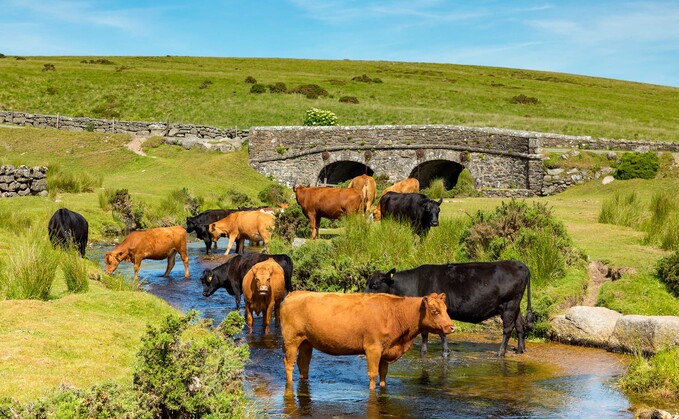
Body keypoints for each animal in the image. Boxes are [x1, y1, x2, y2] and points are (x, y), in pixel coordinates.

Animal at [282, 292, 456, 390]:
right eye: (434, 311)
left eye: (446, 309)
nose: (452, 327)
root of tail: (295, 293)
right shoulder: (373, 348)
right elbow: (373, 374)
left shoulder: (386, 350)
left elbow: (383, 374)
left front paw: (383, 387)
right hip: (291, 340)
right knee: (289, 363)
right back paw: (289, 384)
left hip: (306, 342)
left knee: (303, 364)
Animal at [364, 262, 532, 358]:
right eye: (367, 283)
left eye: (374, 285)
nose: (362, 297)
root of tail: (519, 263)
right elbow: (425, 333)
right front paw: (423, 352)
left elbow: (441, 333)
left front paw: (445, 352)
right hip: (515, 305)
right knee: (520, 324)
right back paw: (520, 349)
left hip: (509, 304)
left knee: (508, 328)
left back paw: (500, 352)